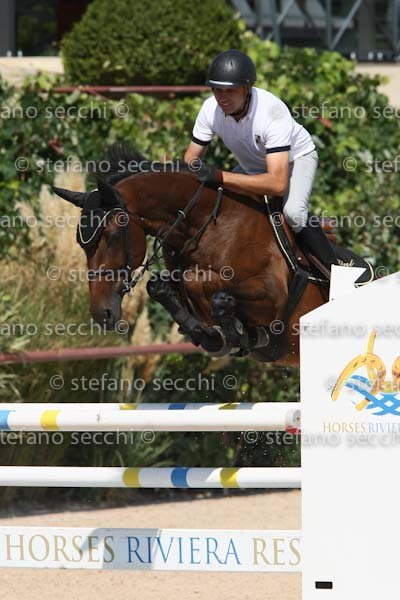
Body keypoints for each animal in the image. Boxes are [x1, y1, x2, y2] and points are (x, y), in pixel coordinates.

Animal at [52, 144, 367, 366]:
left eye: (114, 236)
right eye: (81, 243)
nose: (102, 314)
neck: (209, 224)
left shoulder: (273, 294)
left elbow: (201, 283)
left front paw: (233, 330)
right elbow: (160, 286)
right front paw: (211, 333)